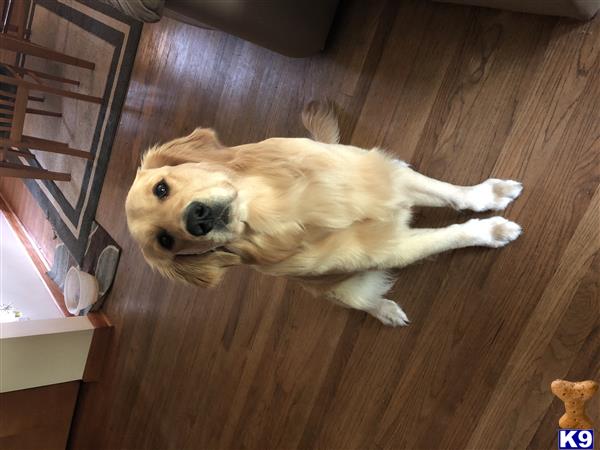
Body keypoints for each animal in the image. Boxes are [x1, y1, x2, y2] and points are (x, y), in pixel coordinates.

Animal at [125, 103, 520, 326]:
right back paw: (385, 311)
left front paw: (491, 193)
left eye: (162, 188)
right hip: (344, 291)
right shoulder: (394, 247)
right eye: (165, 240)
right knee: (364, 301)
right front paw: (493, 232)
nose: (197, 219)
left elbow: (453, 194)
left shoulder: (390, 179)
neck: (287, 205)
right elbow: (452, 234)